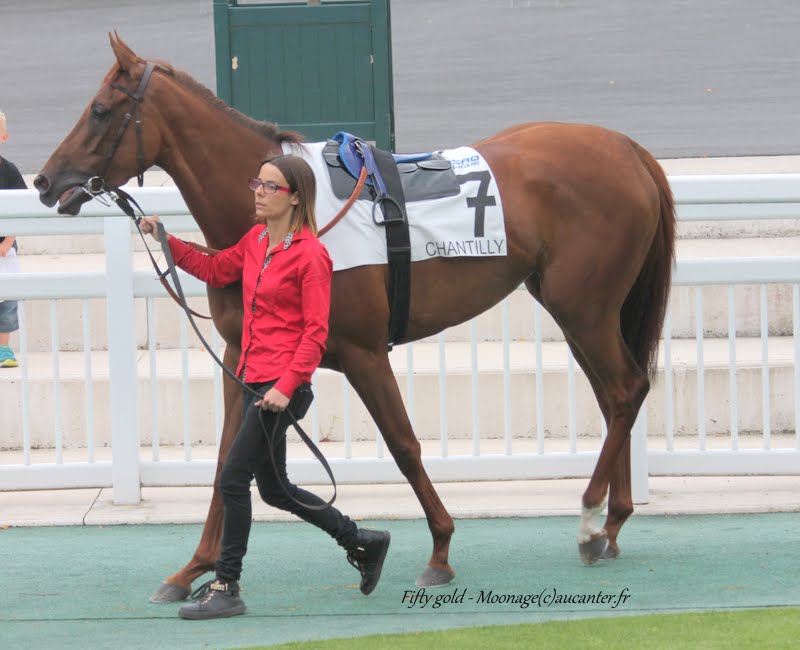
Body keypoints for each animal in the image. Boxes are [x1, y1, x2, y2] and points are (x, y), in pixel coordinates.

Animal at [36, 35, 676, 600]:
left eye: (100, 110)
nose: (44, 181)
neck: (291, 219)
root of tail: (629, 149)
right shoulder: (243, 359)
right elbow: (224, 462)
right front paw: (191, 569)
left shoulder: (364, 352)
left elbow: (403, 444)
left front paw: (440, 549)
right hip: (576, 310)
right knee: (615, 396)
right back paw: (612, 525)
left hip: (584, 308)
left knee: (626, 390)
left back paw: (591, 520)